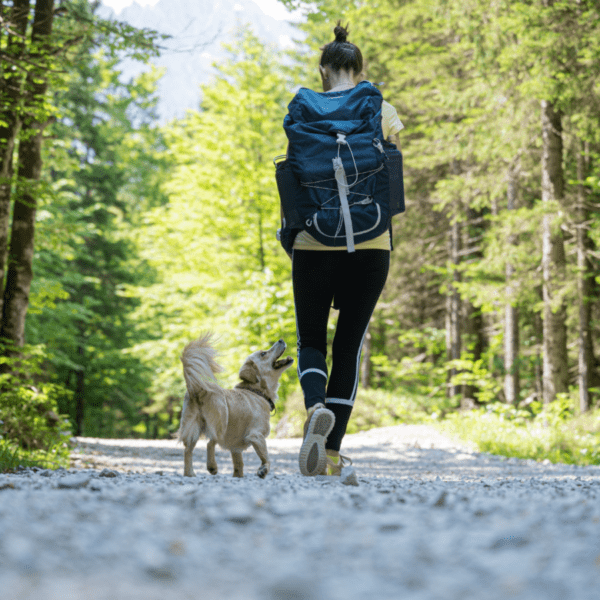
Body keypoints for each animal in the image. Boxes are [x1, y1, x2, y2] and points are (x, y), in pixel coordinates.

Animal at [176, 332, 292, 478]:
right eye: (263, 353)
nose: (281, 340)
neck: (257, 391)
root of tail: (198, 389)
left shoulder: (236, 449)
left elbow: (239, 465)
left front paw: (238, 476)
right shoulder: (256, 435)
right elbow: (266, 457)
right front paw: (263, 470)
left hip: (192, 427)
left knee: (188, 450)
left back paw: (190, 473)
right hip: (221, 420)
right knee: (210, 442)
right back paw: (212, 466)